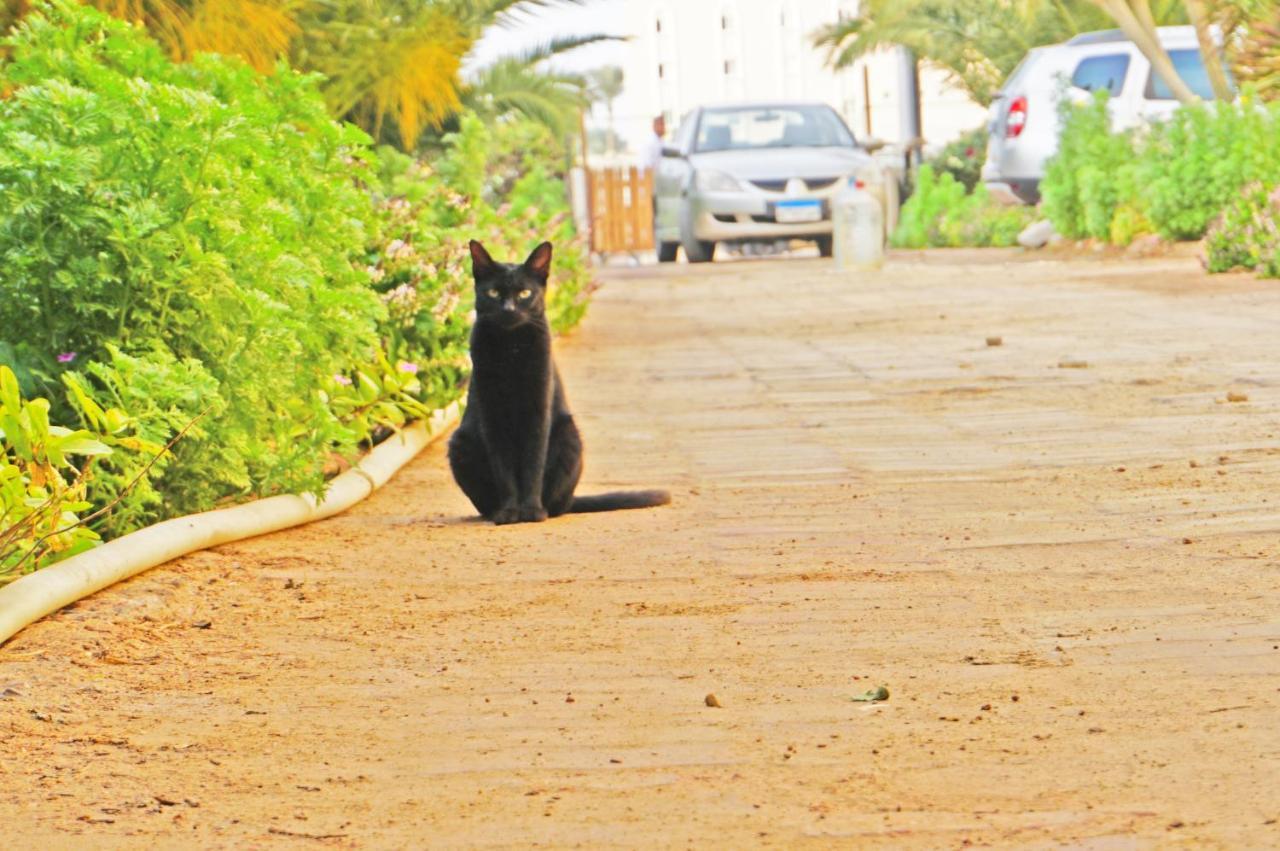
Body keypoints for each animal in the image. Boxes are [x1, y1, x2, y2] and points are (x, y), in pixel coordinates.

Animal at [448, 239, 670, 524]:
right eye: (494, 293)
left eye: (524, 293)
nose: (508, 310)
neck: (511, 348)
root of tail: (570, 500)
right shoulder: (492, 416)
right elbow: (504, 468)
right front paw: (509, 511)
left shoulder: (538, 409)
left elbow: (533, 464)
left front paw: (531, 511)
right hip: (459, 442)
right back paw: (495, 512)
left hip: (569, 435)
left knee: (556, 504)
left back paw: (544, 509)